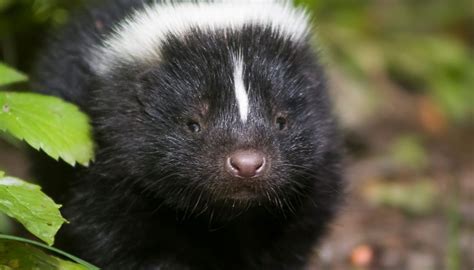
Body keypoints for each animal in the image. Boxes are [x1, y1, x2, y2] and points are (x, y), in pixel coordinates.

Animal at [33, 1, 344, 268]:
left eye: (281, 121)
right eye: (193, 124)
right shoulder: (110, 169)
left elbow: (289, 240)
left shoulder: (316, 173)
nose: (246, 163)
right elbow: (117, 237)